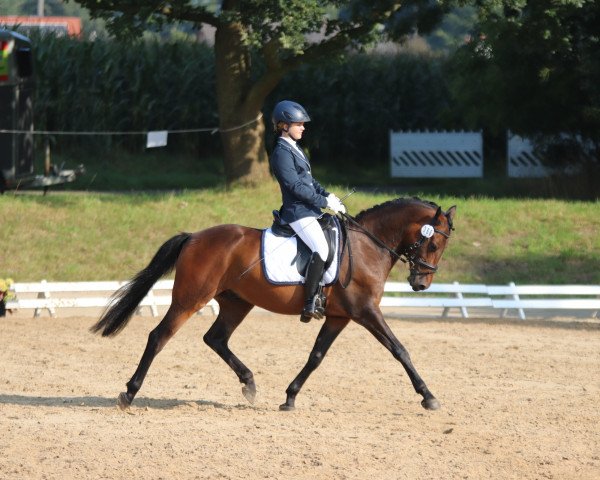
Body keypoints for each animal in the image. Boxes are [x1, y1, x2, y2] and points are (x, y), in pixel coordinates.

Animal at [92, 197, 454, 410]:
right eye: (434, 244)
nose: (421, 284)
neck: (368, 246)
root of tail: (194, 236)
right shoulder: (365, 311)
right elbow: (400, 349)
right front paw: (429, 397)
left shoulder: (339, 316)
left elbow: (316, 356)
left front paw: (290, 397)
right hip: (190, 299)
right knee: (159, 337)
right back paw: (129, 393)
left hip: (236, 303)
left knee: (216, 338)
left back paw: (250, 384)